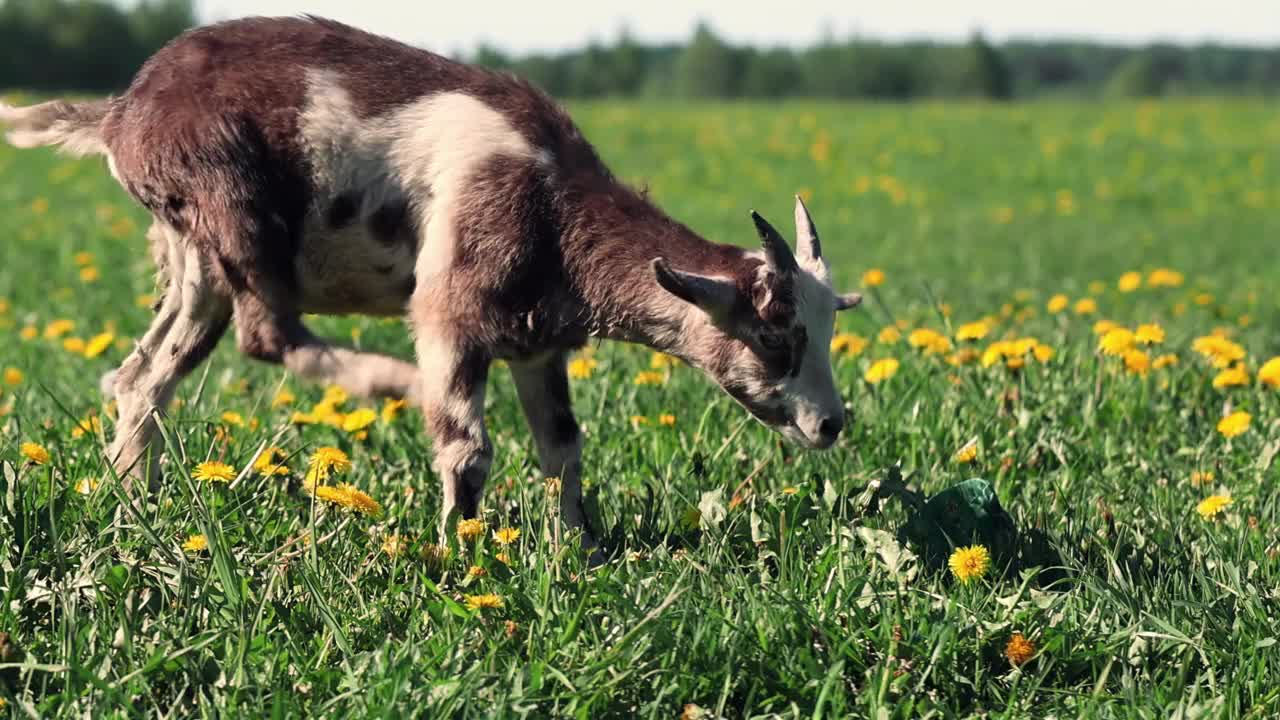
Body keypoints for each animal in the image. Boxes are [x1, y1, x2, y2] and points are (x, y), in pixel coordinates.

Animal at [2, 15, 860, 556]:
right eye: (774, 334)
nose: (830, 426)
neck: (554, 198)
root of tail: (122, 114)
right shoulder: (452, 315)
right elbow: (467, 451)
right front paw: (459, 553)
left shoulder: (537, 341)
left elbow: (562, 446)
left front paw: (579, 550)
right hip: (232, 202)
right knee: (269, 335)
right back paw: (391, 382)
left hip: (195, 259)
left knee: (143, 376)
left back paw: (132, 503)